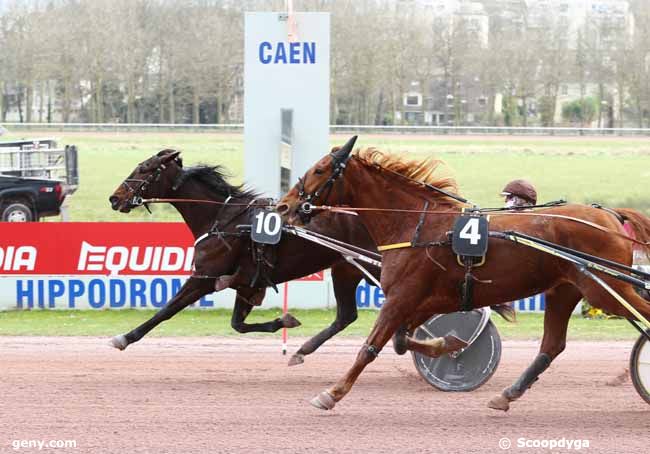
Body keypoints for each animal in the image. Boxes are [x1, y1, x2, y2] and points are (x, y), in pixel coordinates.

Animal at [276, 136, 648, 412]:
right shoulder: (426, 299)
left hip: (606, 288)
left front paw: (331, 394)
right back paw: (506, 395)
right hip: (565, 290)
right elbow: (402, 341)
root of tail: (611, 216)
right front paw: (449, 344)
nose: (283, 206)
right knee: (552, 345)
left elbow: (371, 347)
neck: (416, 225)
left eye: (320, 169)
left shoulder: (401, 297)